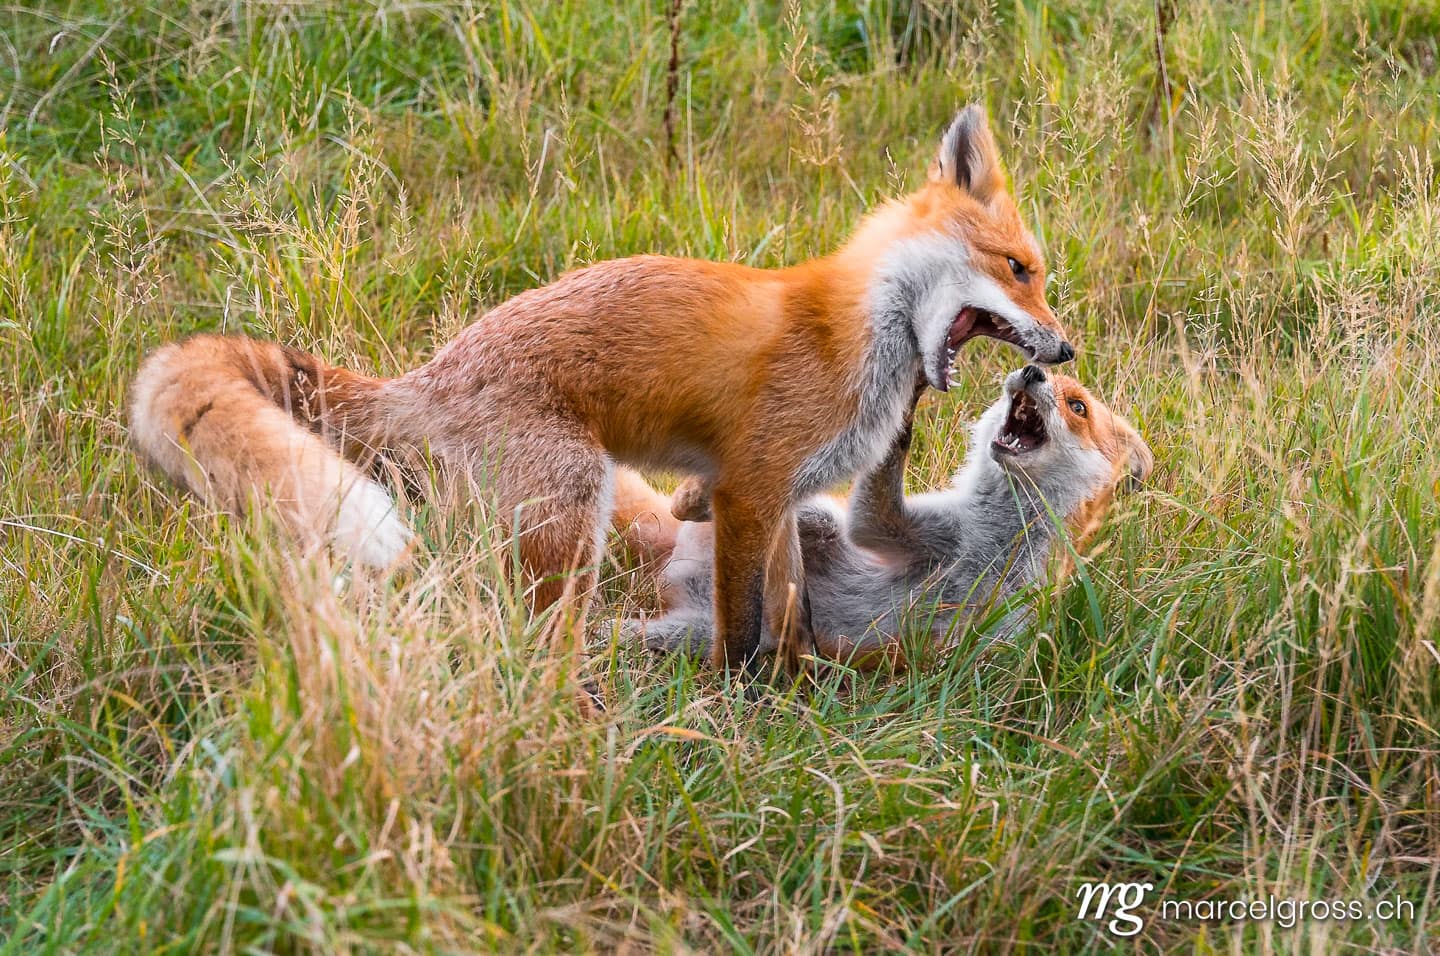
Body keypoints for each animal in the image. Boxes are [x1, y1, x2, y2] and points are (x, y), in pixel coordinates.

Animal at [129, 104, 1072, 670]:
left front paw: (798, 684)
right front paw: (741, 706)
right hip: (571, 520)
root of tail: (426, 378)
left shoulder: (781, 500)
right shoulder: (749, 488)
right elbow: (740, 629)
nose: (1061, 351)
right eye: (1019, 270)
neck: (849, 333)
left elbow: (790, 613)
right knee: (530, 644)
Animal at [617, 366, 1153, 666]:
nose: (1031, 371)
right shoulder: (912, 532)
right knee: (785, 511)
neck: (991, 549)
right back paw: (697, 497)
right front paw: (906, 399)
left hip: (710, 634)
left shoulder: (1002, 635)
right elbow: (871, 513)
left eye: (1078, 406)